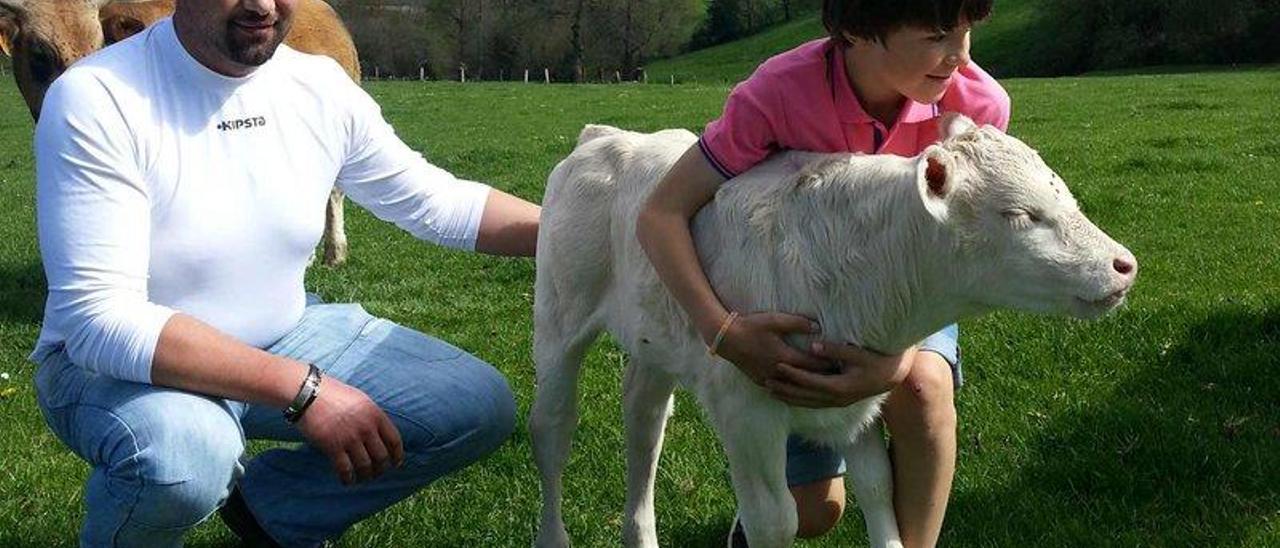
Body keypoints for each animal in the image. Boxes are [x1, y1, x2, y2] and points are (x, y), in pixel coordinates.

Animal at [532, 113, 1141, 545]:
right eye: (1019, 215)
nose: (1124, 265)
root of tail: (605, 136)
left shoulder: (858, 395)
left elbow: (878, 488)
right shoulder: (745, 408)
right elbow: (773, 518)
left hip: (654, 343)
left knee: (644, 424)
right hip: (558, 321)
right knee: (554, 435)